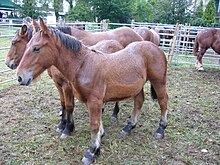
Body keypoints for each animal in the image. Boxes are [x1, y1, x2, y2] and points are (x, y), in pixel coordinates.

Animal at [16, 17, 168, 164]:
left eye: (36, 48)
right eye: (26, 45)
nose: (20, 77)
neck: (83, 65)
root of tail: (156, 47)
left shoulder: (94, 101)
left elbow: (94, 125)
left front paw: (91, 152)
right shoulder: (92, 101)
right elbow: (98, 124)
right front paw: (97, 148)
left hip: (159, 82)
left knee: (163, 101)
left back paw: (161, 129)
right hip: (137, 86)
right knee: (139, 101)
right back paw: (129, 127)